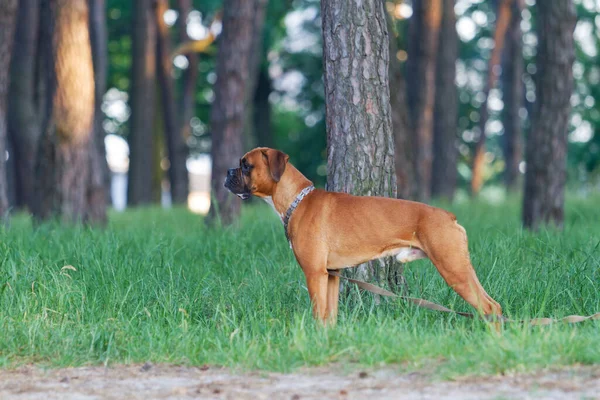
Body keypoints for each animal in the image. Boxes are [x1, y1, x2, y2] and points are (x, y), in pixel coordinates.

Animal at [225, 148, 502, 324]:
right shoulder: (331, 276)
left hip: (453, 269)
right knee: (493, 307)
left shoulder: (314, 274)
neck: (297, 200)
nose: (227, 172)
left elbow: (318, 314)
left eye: (246, 165)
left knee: (488, 306)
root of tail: (448, 216)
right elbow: (329, 316)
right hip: (461, 269)